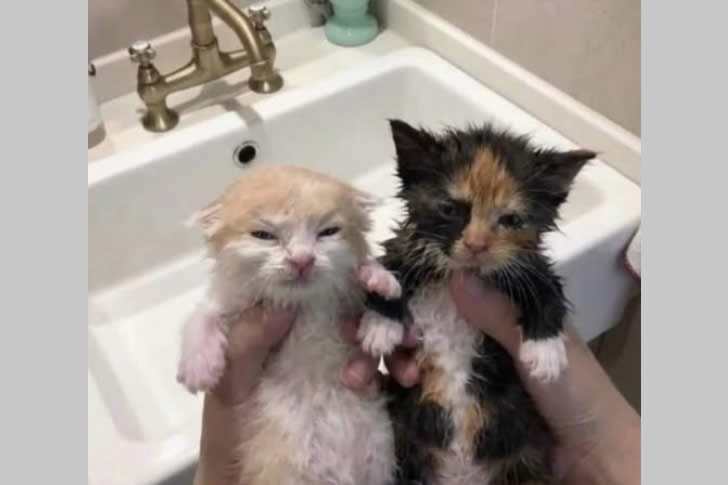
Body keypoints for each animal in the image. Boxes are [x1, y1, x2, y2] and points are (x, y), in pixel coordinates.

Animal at [175, 166, 405, 485]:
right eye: (263, 235)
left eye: (328, 232)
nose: (302, 260)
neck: (302, 305)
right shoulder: (231, 305)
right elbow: (201, 317)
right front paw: (199, 366)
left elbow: (370, 288)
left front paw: (380, 299)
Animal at [364, 120, 596, 485]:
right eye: (450, 209)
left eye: (511, 220)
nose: (476, 245)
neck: (460, 273)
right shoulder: (409, 246)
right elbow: (391, 266)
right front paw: (381, 325)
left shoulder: (526, 265)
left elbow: (548, 289)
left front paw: (545, 351)